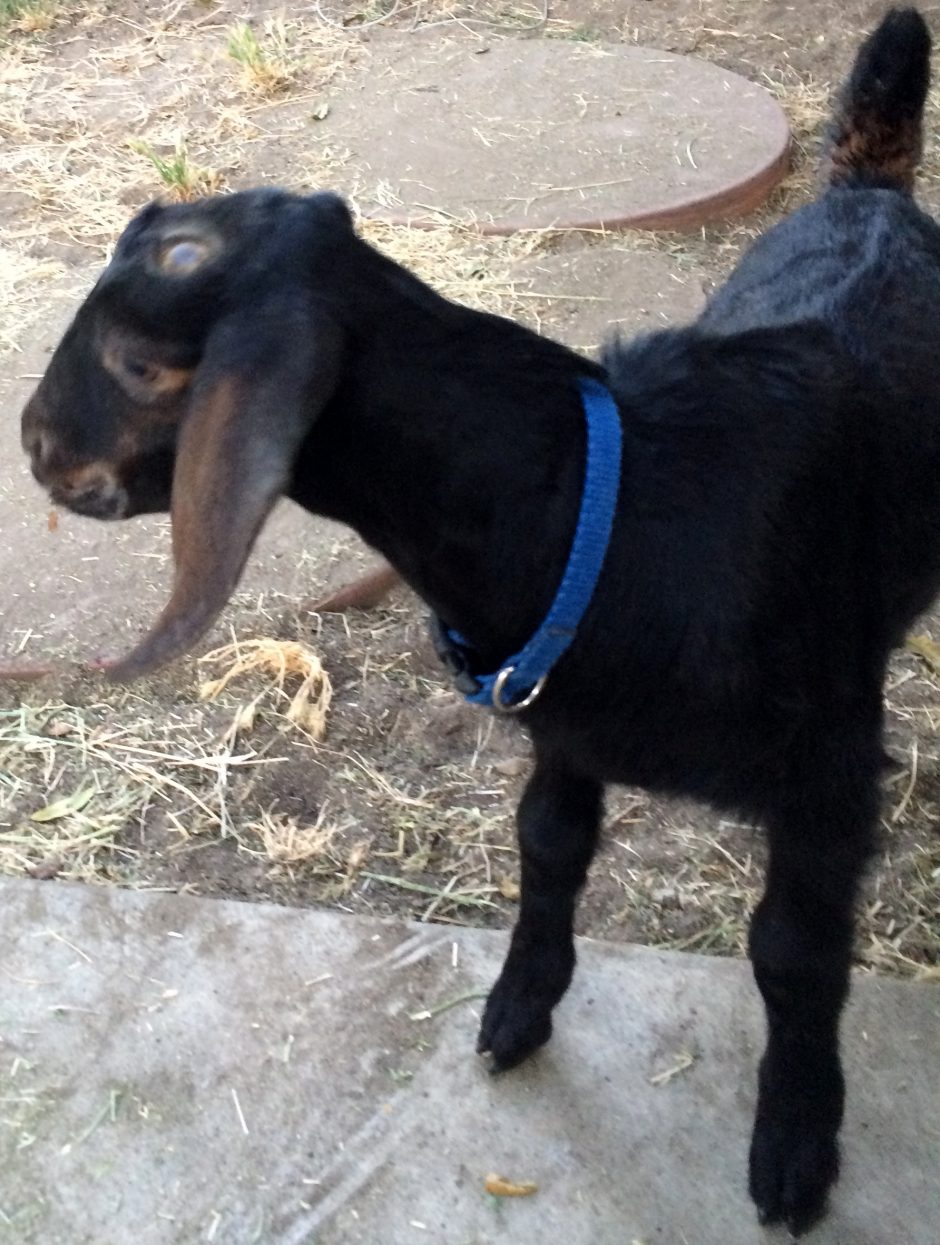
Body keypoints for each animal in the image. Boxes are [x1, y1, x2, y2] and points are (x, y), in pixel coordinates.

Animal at [19, 9, 937, 1234]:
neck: (611, 499)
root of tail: (870, 195)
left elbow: (792, 953)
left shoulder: (829, 770)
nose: (35, 444)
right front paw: (518, 1009)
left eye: (137, 362)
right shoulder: (564, 726)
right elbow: (547, 847)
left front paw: (794, 1149)